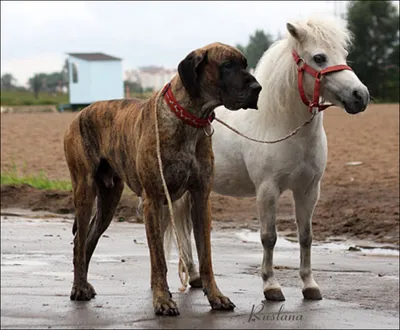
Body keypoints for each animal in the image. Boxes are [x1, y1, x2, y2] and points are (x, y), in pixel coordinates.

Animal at [63, 42, 260, 316]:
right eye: (227, 66)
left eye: (245, 64)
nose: (257, 88)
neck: (189, 118)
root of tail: (80, 113)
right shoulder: (154, 201)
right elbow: (158, 259)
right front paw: (162, 300)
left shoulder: (200, 198)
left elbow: (206, 256)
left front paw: (215, 296)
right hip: (84, 191)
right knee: (79, 241)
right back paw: (78, 287)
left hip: (109, 199)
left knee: (89, 238)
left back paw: (83, 283)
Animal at [161, 14, 370, 300]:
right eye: (319, 58)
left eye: (344, 54)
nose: (360, 96)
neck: (280, 125)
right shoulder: (267, 190)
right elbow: (269, 237)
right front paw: (271, 285)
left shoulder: (308, 190)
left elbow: (306, 236)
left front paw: (309, 284)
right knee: (183, 231)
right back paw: (193, 276)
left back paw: (194, 276)